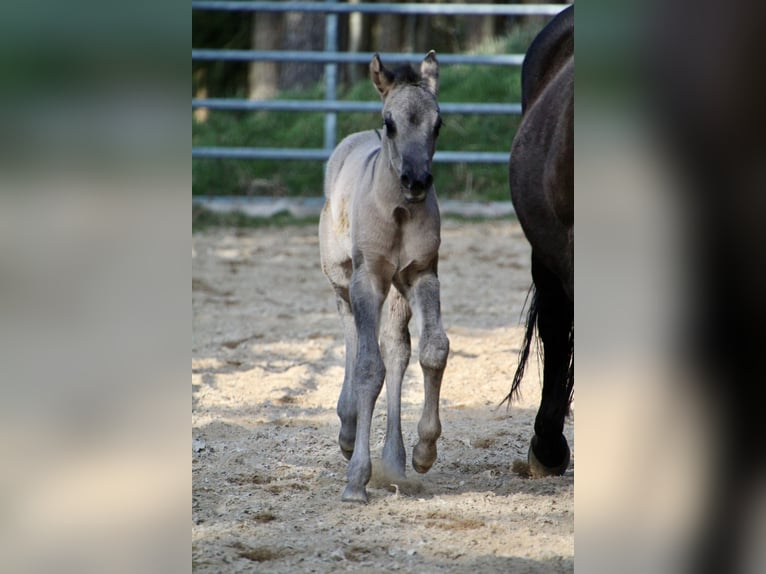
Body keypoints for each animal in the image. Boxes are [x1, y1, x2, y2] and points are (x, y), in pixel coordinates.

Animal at [319, 51, 449, 503]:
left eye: (438, 124)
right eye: (389, 122)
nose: (417, 180)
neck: (399, 212)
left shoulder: (422, 274)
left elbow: (433, 350)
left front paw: (424, 451)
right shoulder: (368, 278)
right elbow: (366, 368)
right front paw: (356, 480)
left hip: (395, 294)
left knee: (395, 348)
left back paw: (393, 459)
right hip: (343, 280)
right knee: (352, 336)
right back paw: (347, 427)